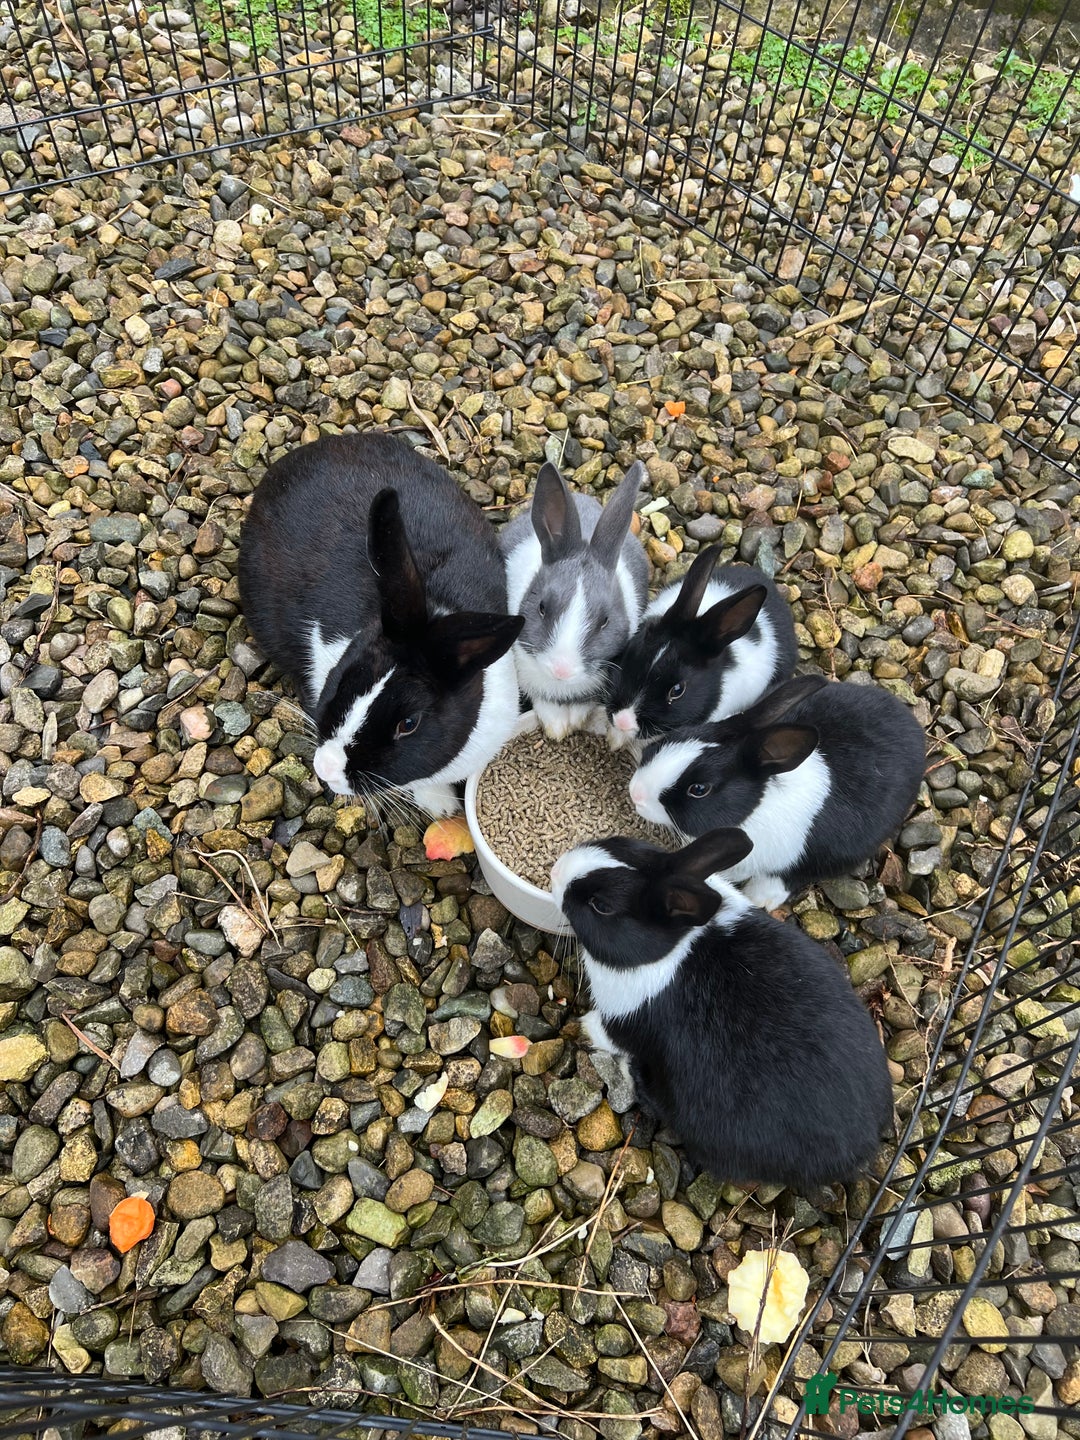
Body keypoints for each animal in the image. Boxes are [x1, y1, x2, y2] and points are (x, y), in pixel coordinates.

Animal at [500, 459, 649, 739]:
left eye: (605, 620)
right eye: (542, 608)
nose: (562, 669)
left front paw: (576, 721)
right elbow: (544, 703)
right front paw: (557, 728)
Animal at [550, 828, 894, 1191]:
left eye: (601, 906)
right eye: (621, 843)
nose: (556, 872)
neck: (673, 947)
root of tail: (859, 1155)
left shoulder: (623, 1022)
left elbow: (605, 1032)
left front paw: (582, 1027)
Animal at [629, 673, 927, 912]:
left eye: (699, 789)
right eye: (672, 738)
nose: (636, 793)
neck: (755, 810)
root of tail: (911, 724)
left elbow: (793, 874)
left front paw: (758, 898)